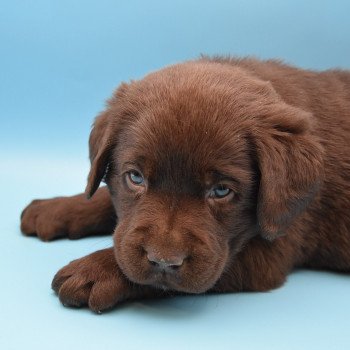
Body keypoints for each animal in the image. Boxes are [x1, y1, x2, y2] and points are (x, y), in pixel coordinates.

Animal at [21, 56, 350, 312]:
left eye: (221, 190)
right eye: (135, 177)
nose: (164, 262)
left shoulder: (272, 247)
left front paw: (93, 271)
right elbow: (104, 196)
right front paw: (55, 208)